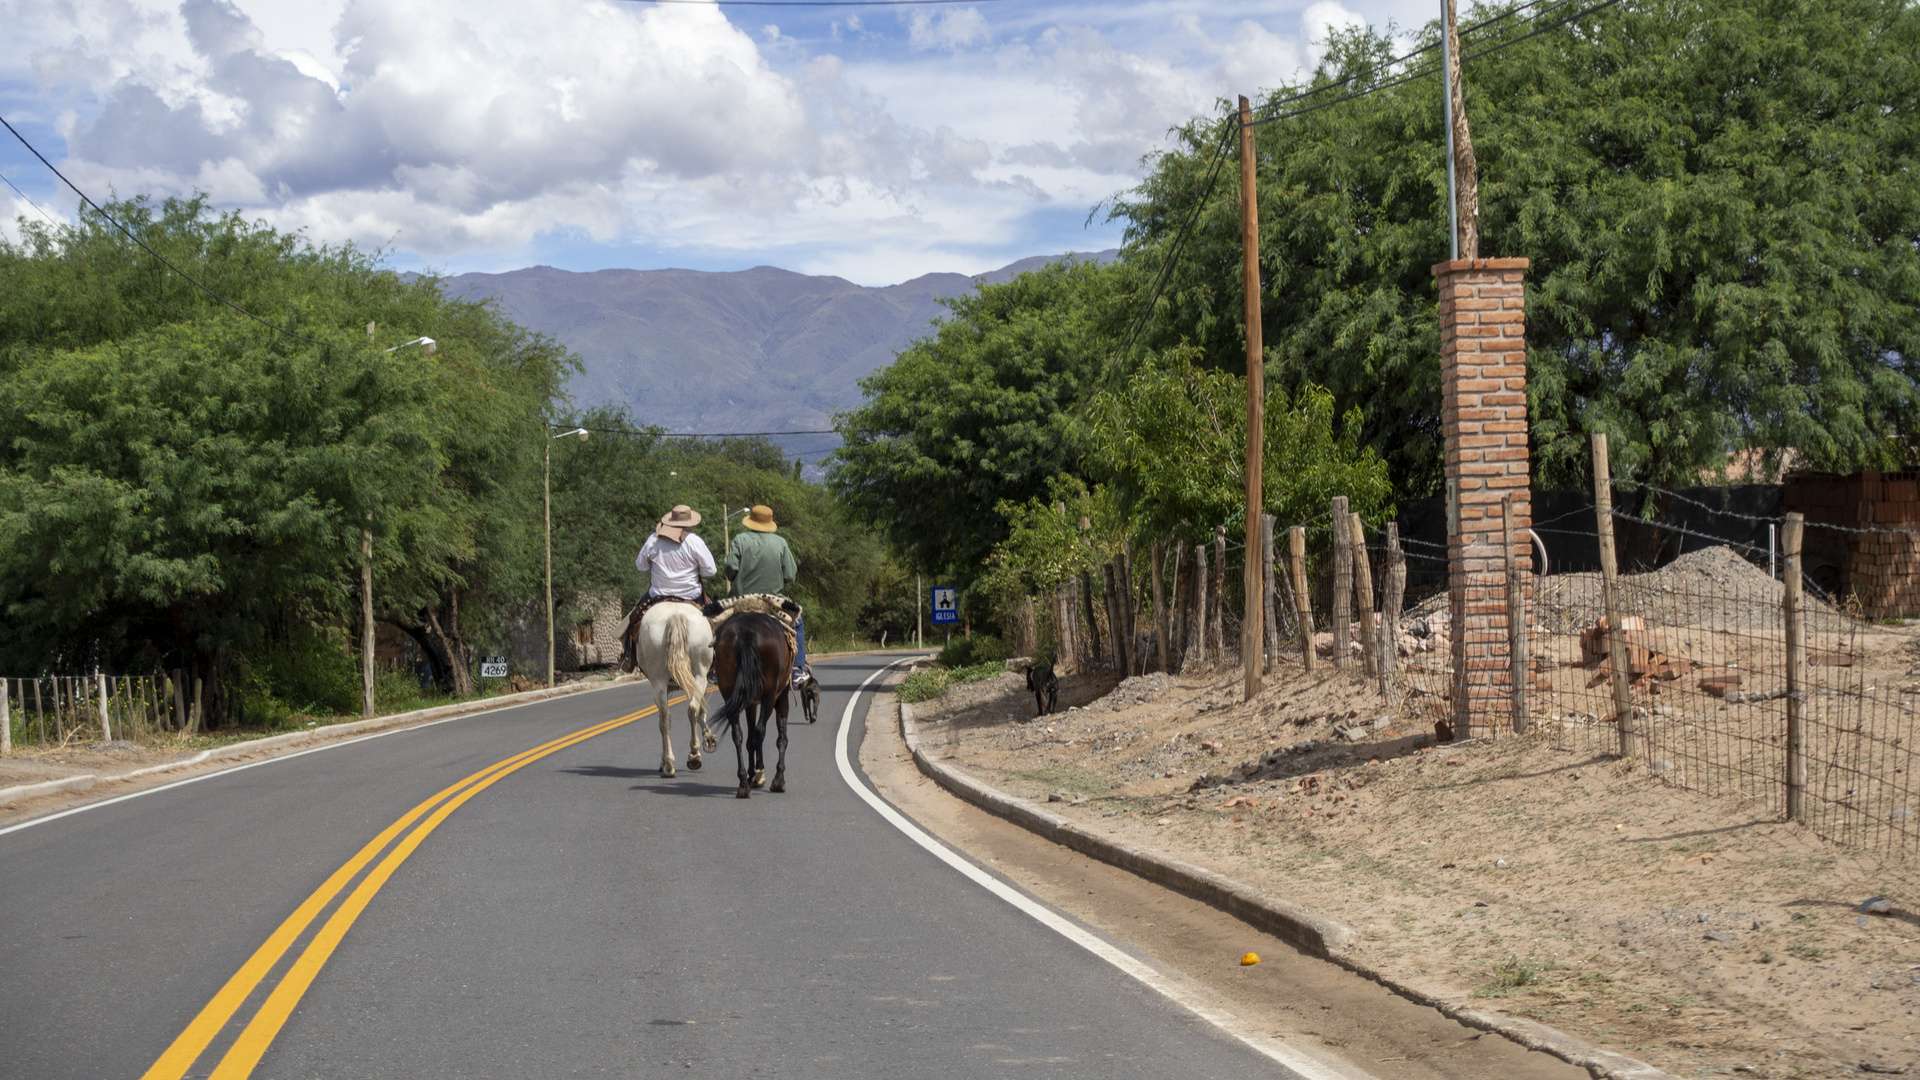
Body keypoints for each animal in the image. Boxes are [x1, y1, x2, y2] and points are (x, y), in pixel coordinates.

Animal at [637, 595, 714, 772]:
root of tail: (675, 615)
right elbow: (701, 711)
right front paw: (709, 738)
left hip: (659, 680)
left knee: (666, 717)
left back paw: (669, 764)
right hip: (700, 675)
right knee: (691, 709)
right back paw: (693, 755)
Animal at [710, 611, 791, 795]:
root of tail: (746, 630)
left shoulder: (750, 703)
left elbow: (750, 737)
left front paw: (752, 774)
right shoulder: (782, 696)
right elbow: (780, 737)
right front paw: (777, 779)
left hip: (729, 691)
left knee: (738, 734)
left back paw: (743, 782)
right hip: (770, 695)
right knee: (761, 731)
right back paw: (758, 777)